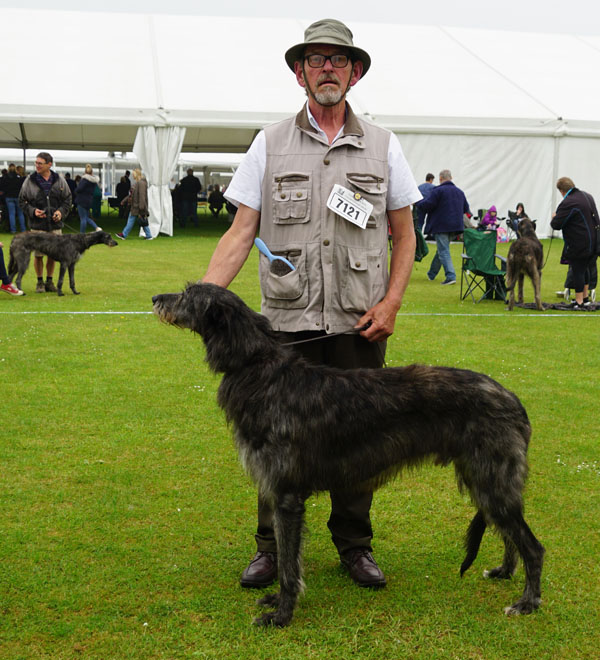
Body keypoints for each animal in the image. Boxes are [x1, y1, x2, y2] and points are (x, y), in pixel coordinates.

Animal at [151, 282, 544, 624]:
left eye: (187, 294)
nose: (156, 298)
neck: (257, 367)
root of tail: (514, 401)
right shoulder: (278, 491)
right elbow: (287, 558)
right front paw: (277, 601)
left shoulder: (287, 496)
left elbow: (289, 565)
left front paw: (282, 615)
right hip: (484, 481)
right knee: (510, 534)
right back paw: (505, 571)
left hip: (492, 479)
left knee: (532, 546)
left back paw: (527, 602)